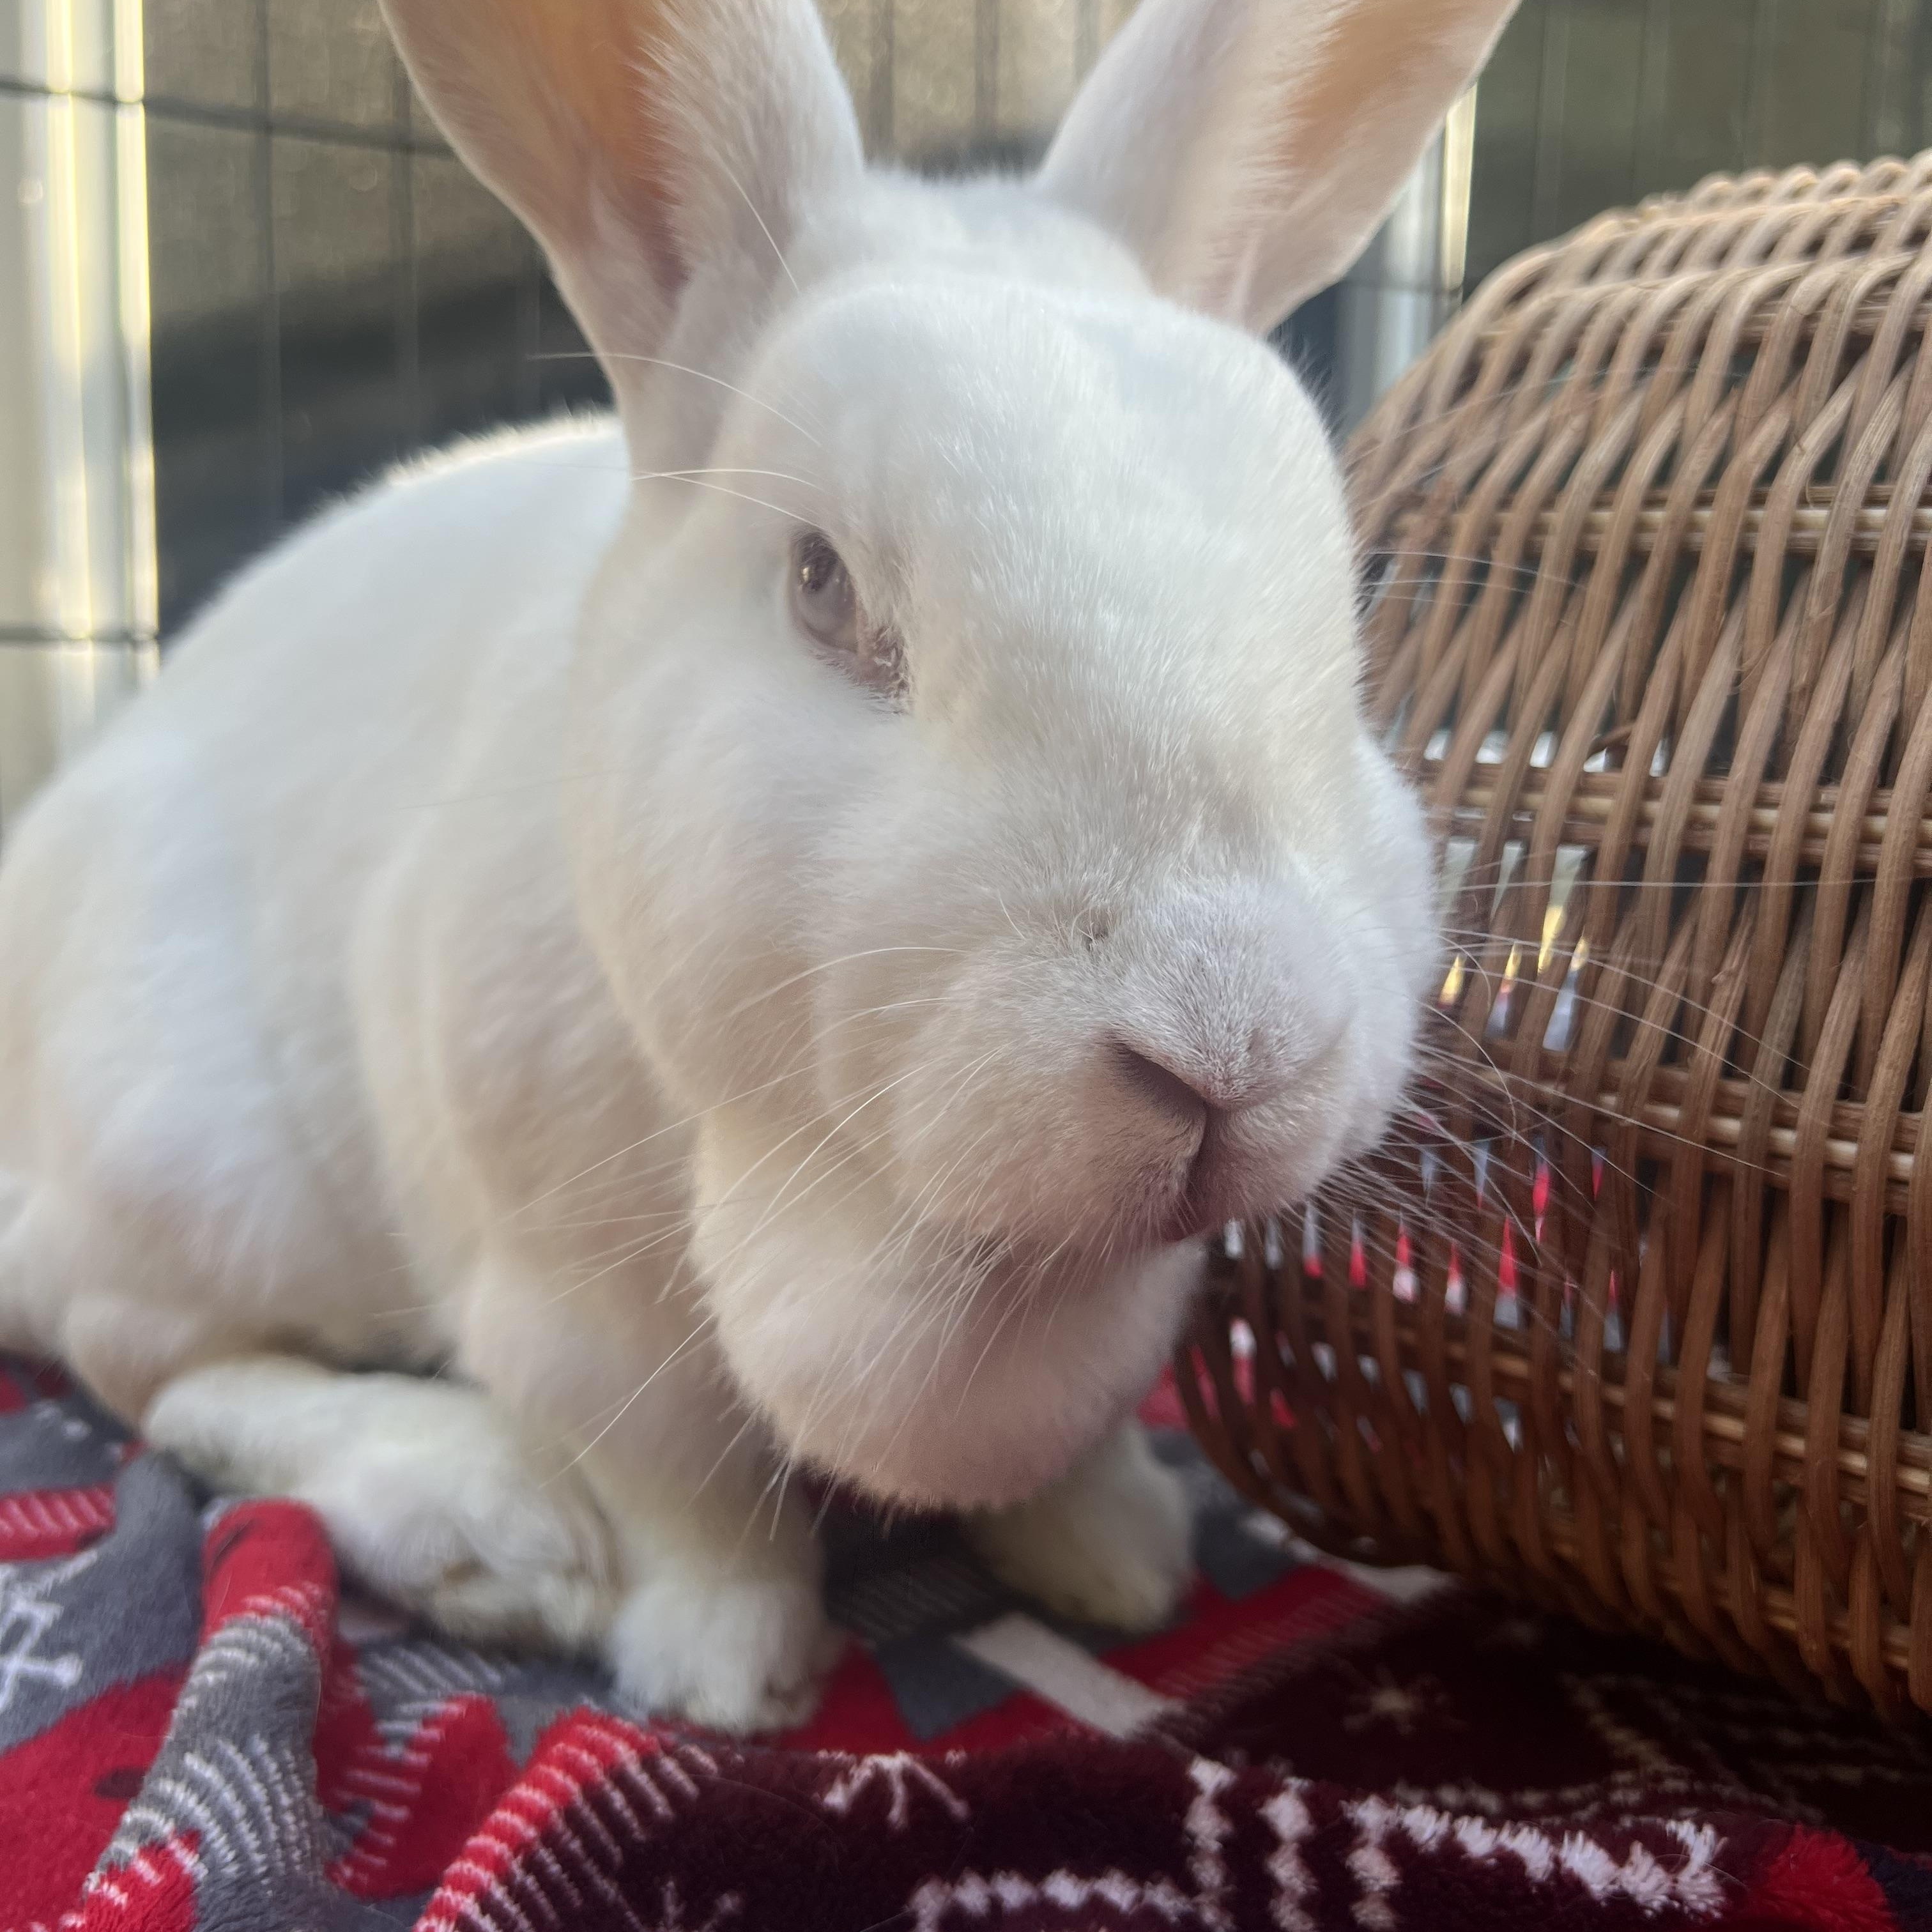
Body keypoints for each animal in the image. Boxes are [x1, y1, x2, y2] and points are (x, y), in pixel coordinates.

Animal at [0, 0, 1516, 1732]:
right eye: (821, 587)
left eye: (1339, 614)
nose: (1234, 1043)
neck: (945, 1245)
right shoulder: (580, 1318)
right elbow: (690, 1498)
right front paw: (733, 1681)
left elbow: (1070, 1448)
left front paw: (1124, 1570)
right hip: (191, 1160)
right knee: (163, 1372)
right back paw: (492, 1530)